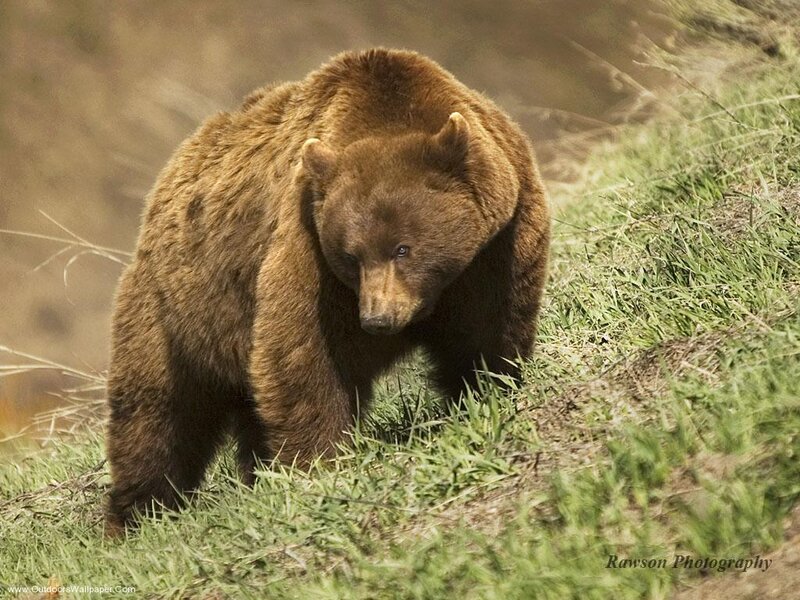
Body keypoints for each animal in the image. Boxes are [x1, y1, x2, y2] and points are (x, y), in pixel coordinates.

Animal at [105, 48, 550, 534]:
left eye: (403, 248)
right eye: (352, 256)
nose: (378, 319)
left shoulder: (496, 243)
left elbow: (488, 326)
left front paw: (487, 390)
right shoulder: (308, 244)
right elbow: (305, 352)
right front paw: (320, 463)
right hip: (176, 314)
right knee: (157, 413)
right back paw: (138, 514)